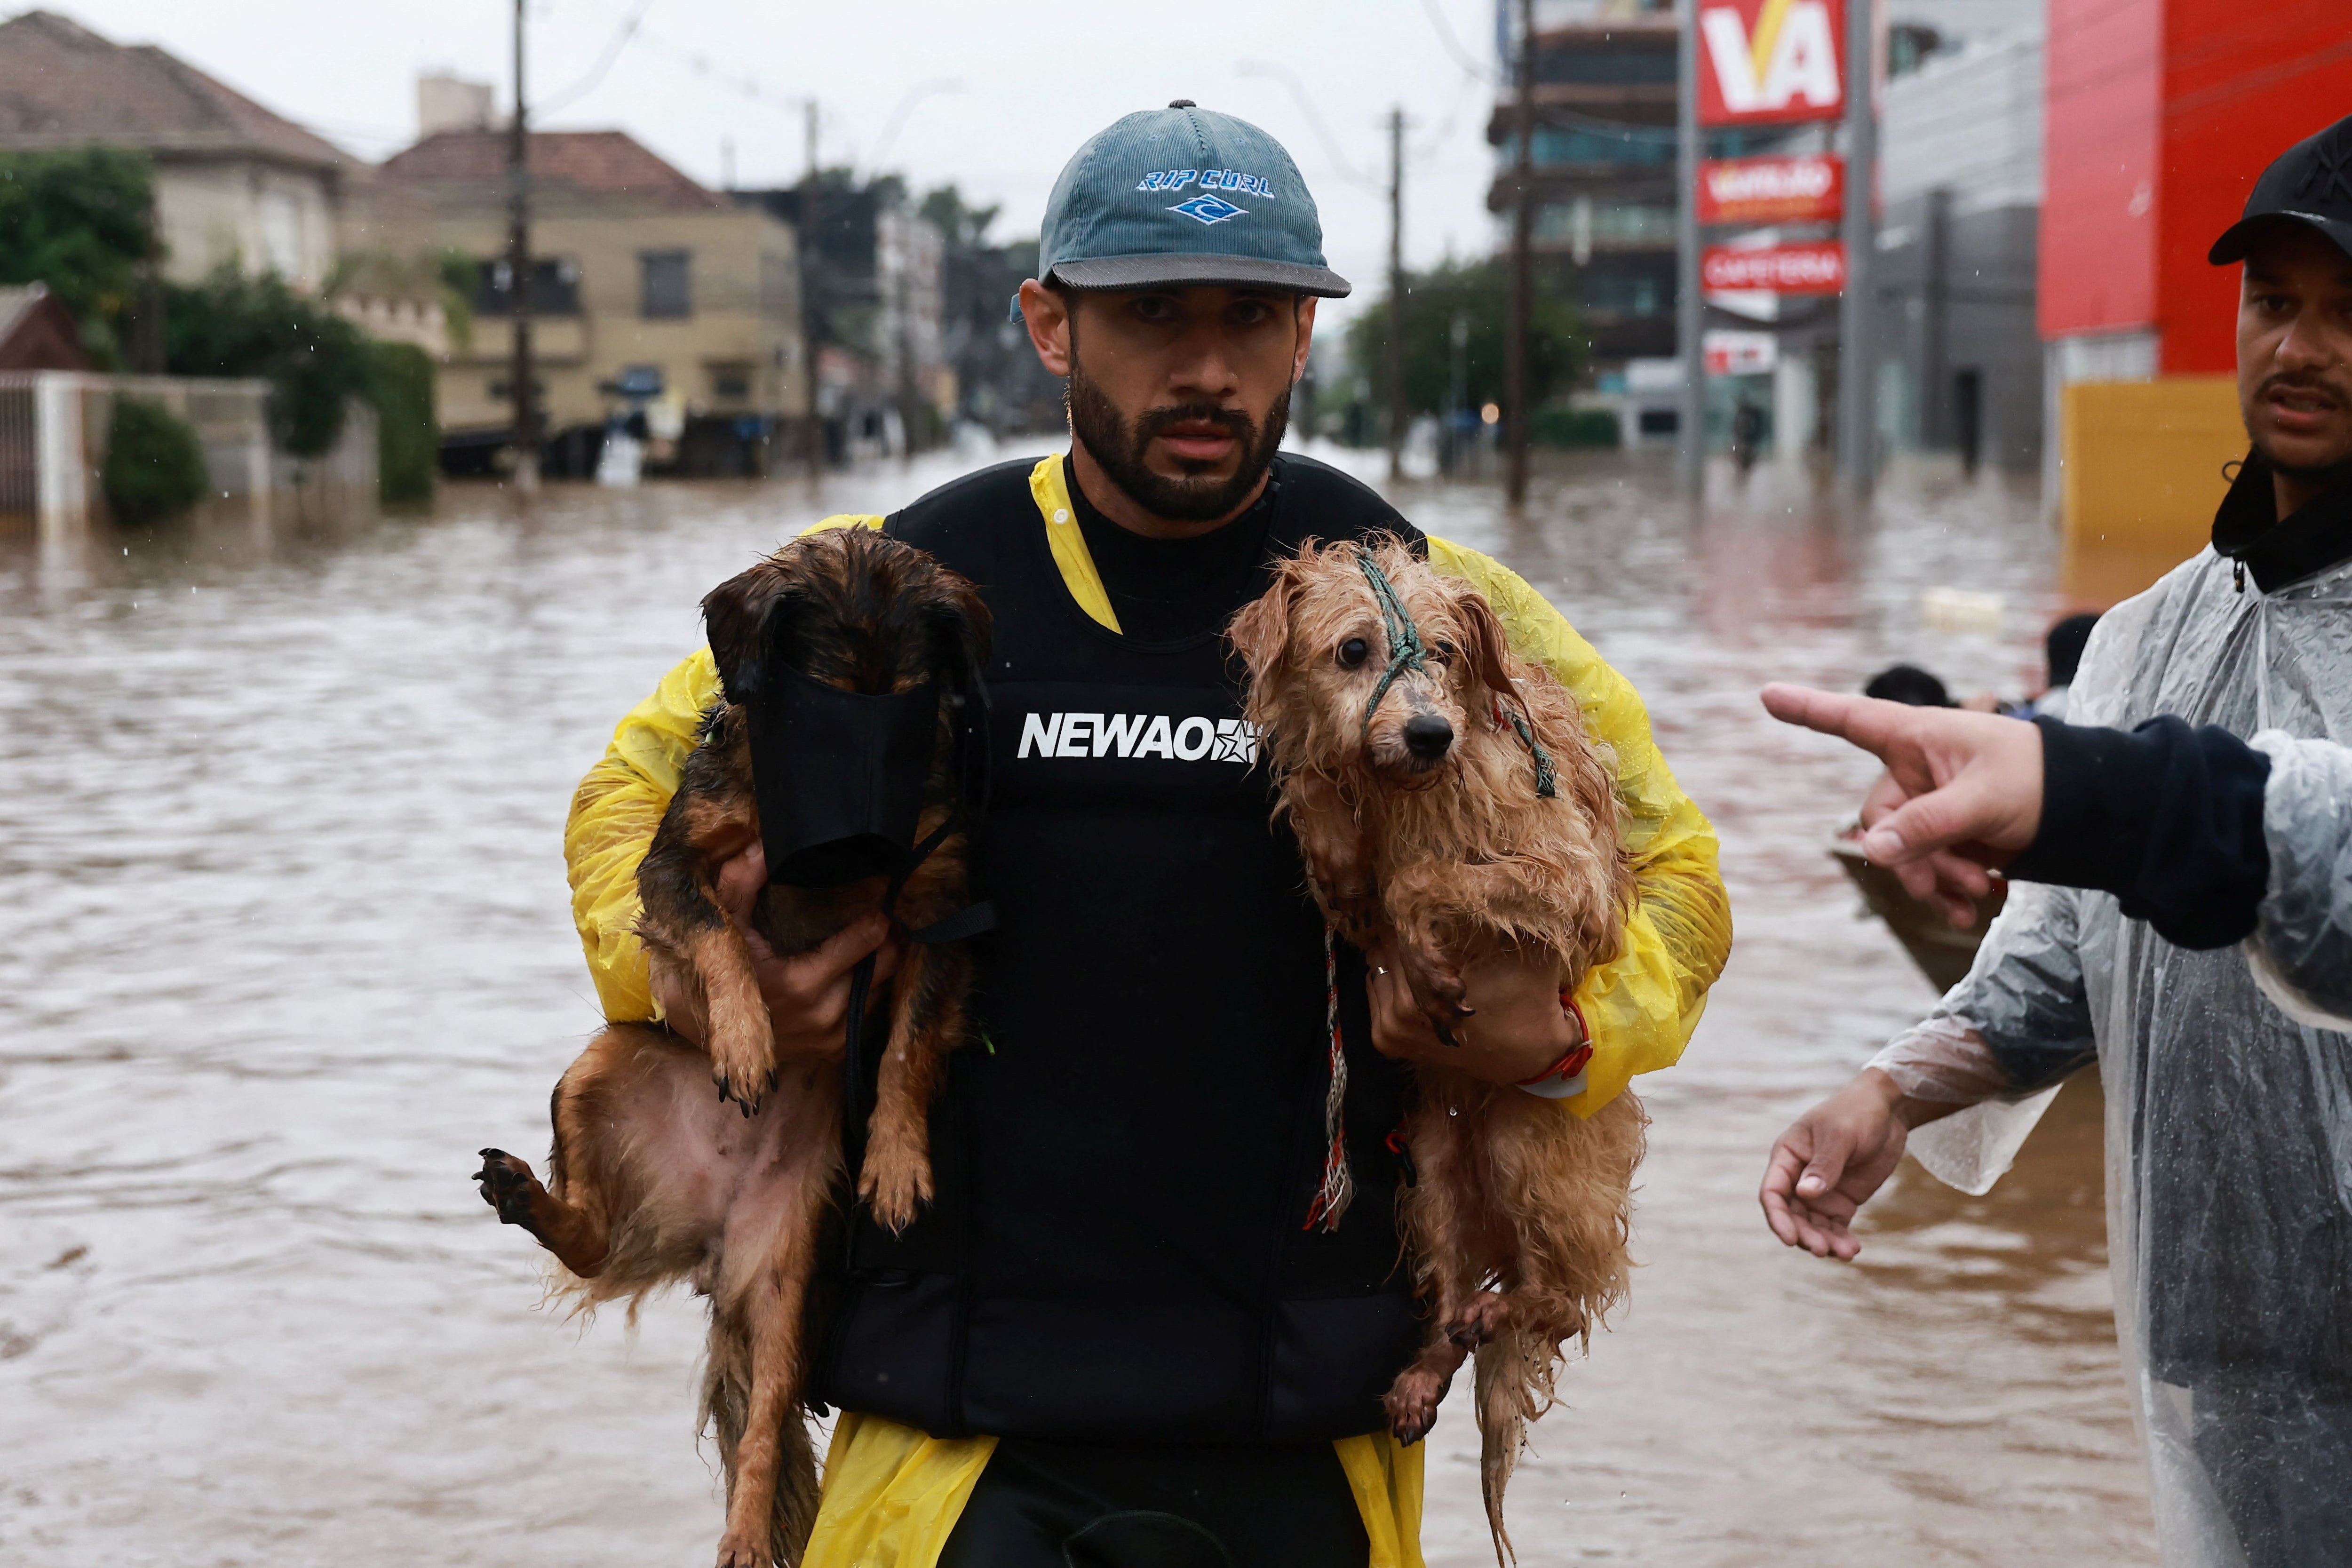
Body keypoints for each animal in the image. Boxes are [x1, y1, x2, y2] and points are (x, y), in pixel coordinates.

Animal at [473, 526, 988, 1568]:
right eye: (819, 711)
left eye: (911, 714)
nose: (857, 838)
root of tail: (701, 1237)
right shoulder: (675, 863)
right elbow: (718, 937)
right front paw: (747, 1037)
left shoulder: (936, 908)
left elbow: (908, 1047)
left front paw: (897, 1158)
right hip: (591, 1074)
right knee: (592, 1239)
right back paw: (526, 1194)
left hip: (788, 1281)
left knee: (763, 1421)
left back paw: (748, 1535)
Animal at [1223, 536, 1646, 1561]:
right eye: (1351, 650)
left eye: (1448, 653)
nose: (1427, 734)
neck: (1409, 791)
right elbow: (1328, 822)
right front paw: (1339, 842)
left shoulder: (1565, 879)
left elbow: (1426, 883)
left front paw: (1424, 942)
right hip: (1434, 1165)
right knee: (1454, 1309)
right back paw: (1428, 1364)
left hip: (1526, 1148)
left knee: (1556, 1297)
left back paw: (1512, 1304)